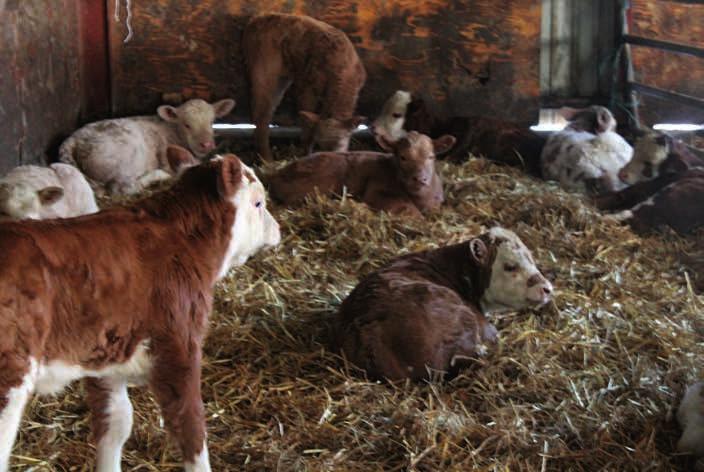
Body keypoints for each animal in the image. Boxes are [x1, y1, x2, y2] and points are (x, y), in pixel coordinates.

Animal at [0, 155, 280, 472]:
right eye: (258, 203)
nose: (277, 229)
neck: (181, 239)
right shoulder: (181, 346)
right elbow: (191, 426)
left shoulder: (107, 355)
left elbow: (115, 424)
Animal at [59, 98, 235, 195]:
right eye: (187, 125)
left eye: (212, 122)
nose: (207, 144)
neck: (172, 130)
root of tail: (73, 140)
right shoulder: (166, 157)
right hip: (122, 161)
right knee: (123, 188)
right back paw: (157, 177)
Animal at [242, 13, 366, 162]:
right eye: (320, 144)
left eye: (340, 143)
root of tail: (257, 19)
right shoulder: (307, 86)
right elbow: (307, 123)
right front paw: (305, 154)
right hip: (264, 70)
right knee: (262, 114)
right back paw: (267, 159)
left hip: (281, 78)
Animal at [266, 130, 456, 217]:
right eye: (403, 157)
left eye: (431, 156)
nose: (420, 178)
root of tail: (275, 174)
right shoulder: (376, 191)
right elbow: (408, 209)